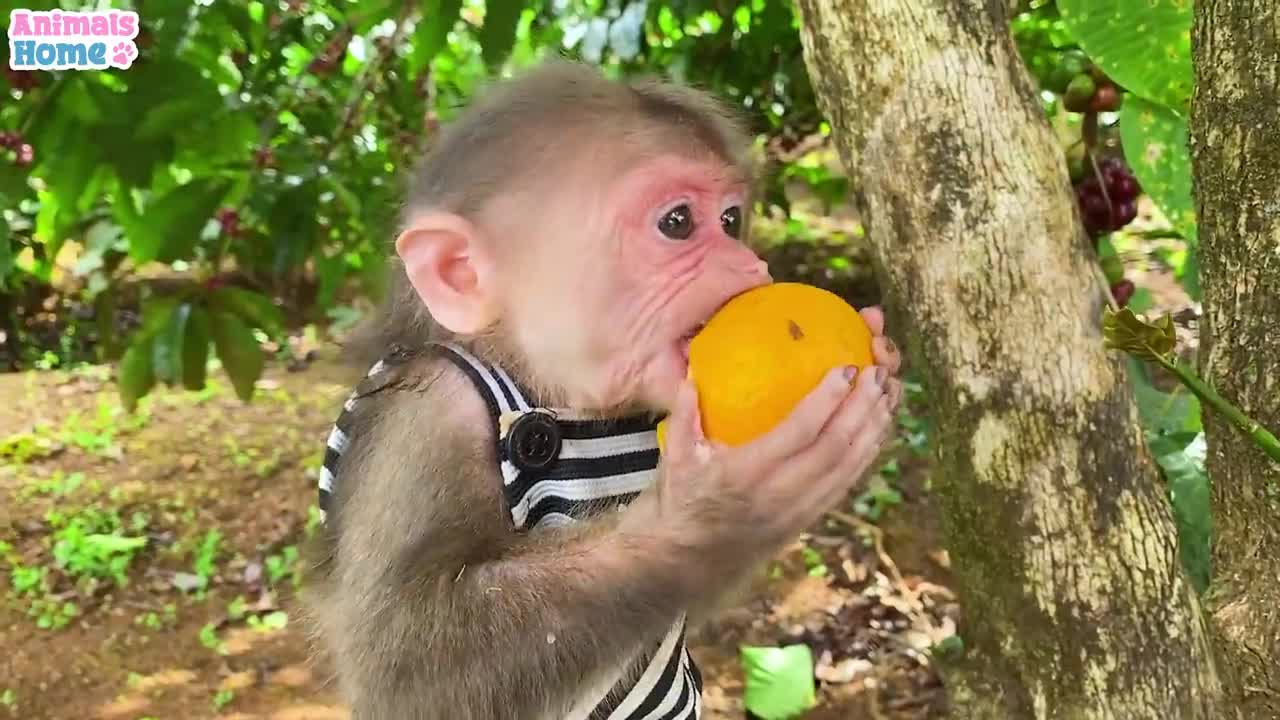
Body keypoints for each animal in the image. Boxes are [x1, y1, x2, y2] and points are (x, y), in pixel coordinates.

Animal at [302, 63, 901, 717]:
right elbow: (405, 668)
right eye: (677, 223)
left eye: (731, 221)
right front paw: (715, 513)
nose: (751, 268)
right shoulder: (431, 419)